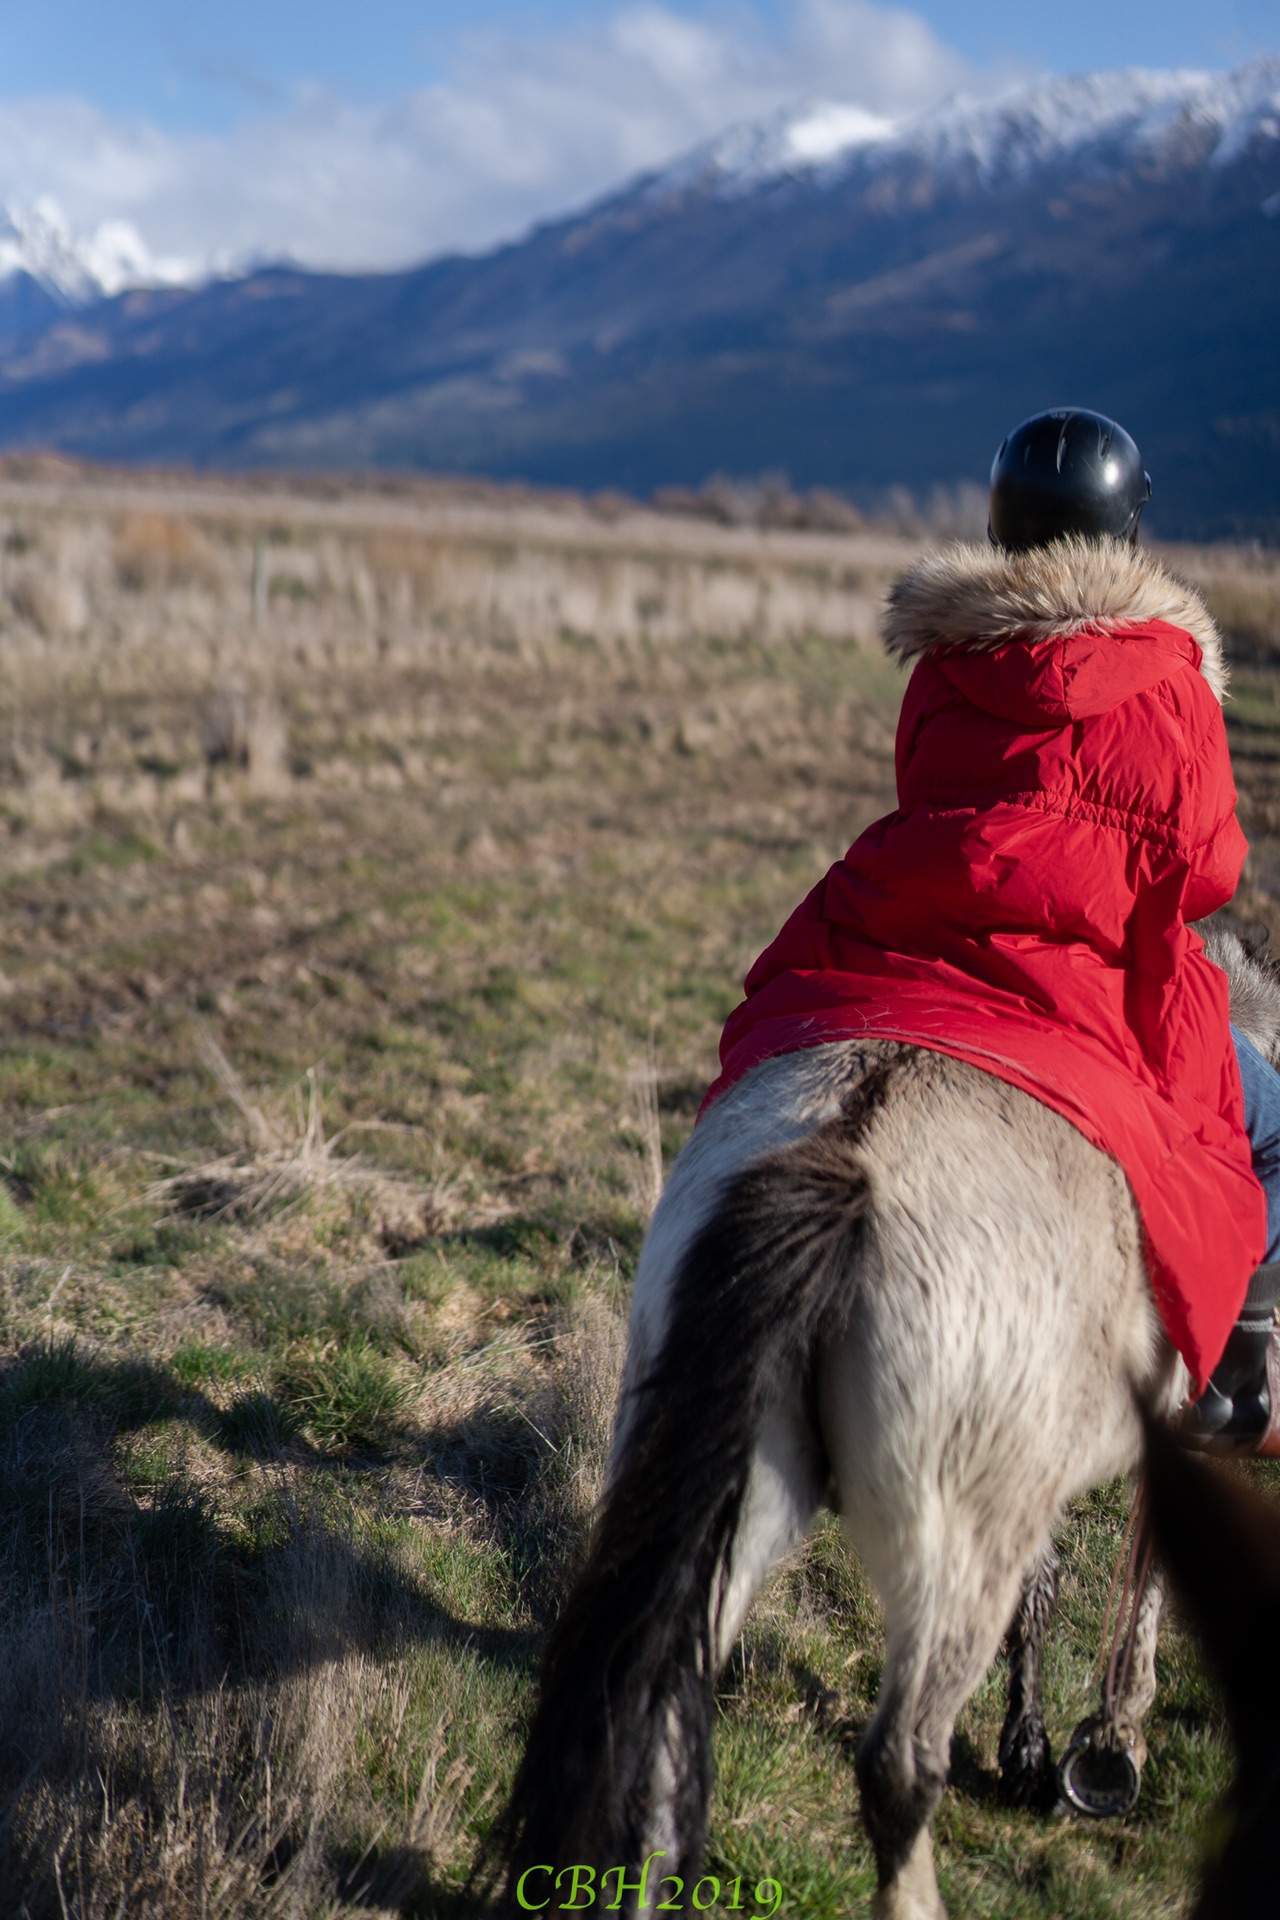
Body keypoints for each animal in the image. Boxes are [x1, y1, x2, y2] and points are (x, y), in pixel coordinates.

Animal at [495, 921, 1280, 1912]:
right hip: (949, 1542)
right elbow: (1134, 1587)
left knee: (663, 1715)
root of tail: (849, 1156)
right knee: (900, 1761)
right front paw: (1100, 1745)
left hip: (740, 1487)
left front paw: (1041, 1748)